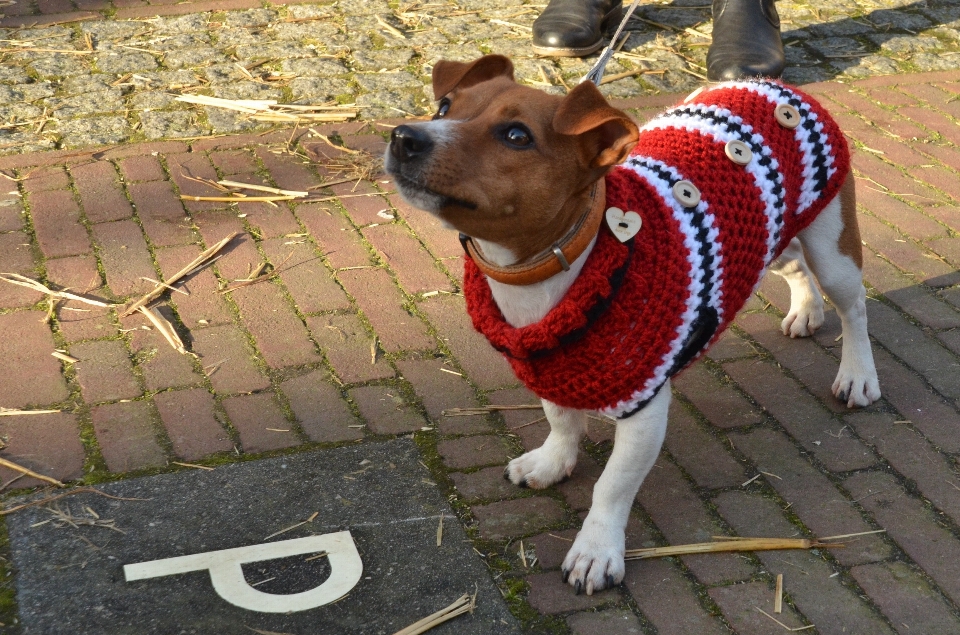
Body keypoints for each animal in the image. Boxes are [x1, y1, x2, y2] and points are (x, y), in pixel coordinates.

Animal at [386, 54, 880, 596]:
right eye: (444, 106)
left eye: (516, 136)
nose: (405, 136)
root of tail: (774, 86)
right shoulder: (551, 370)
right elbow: (561, 421)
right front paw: (552, 462)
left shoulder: (645, 407)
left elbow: (612, 485)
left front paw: (596, 550)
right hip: (769, 240)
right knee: (795, 267)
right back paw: (806, 310)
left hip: (833, 246)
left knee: (854, 307)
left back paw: (858, 375)